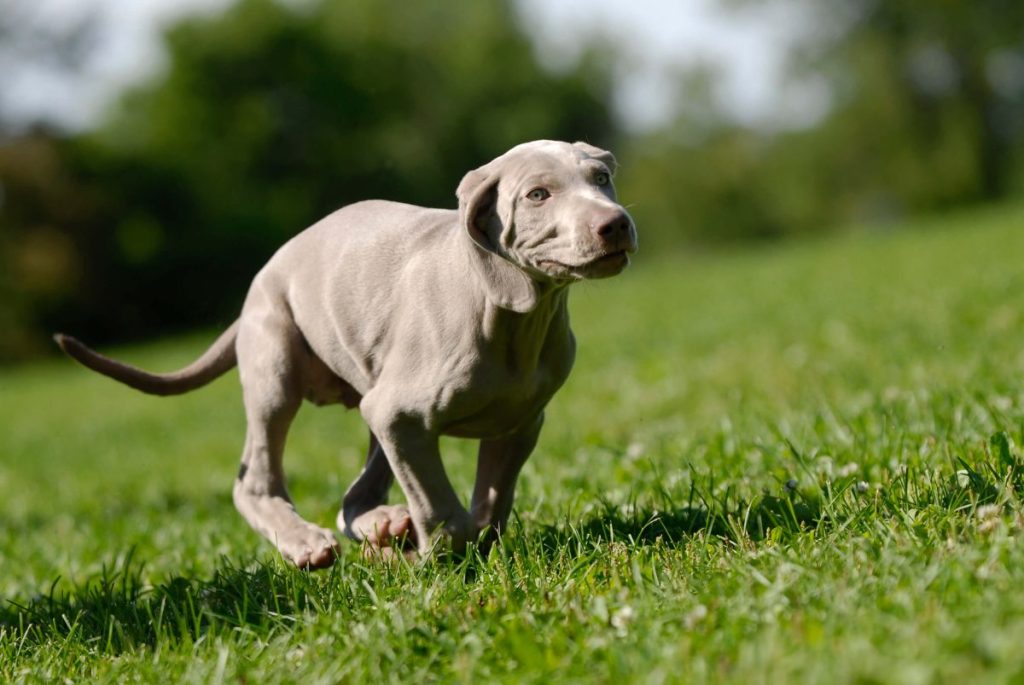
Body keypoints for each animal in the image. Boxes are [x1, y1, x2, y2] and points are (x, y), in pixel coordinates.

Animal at [56, 139, 634, 565]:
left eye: (601, 179)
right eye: (538, 194)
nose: (616, 224)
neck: (516, 316)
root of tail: (258, 283)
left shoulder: (517, 423)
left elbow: (491, 505)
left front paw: (449, 550)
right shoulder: (401, 414)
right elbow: (444, 512)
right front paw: (436, 560)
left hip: (373, 400)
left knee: (354, 496)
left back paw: (384, 527)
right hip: (278, 368)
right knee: (255, 482)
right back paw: (309, 544)